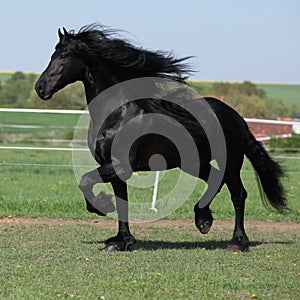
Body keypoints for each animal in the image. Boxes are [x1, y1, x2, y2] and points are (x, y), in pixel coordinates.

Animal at [35, 24, 286, 252]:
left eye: (64, 55)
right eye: (53, 54)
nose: (40, 88)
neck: (118, 112)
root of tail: (237, 117)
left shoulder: (120, 166)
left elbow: (85, 181)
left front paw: (103, 206)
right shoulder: (113, 167)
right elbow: (120, 200)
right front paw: (121, 242)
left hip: (231, 163)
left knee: (238, 194)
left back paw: (237, 241)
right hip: (194, 163)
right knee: (215, 179)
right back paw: (203, 219)